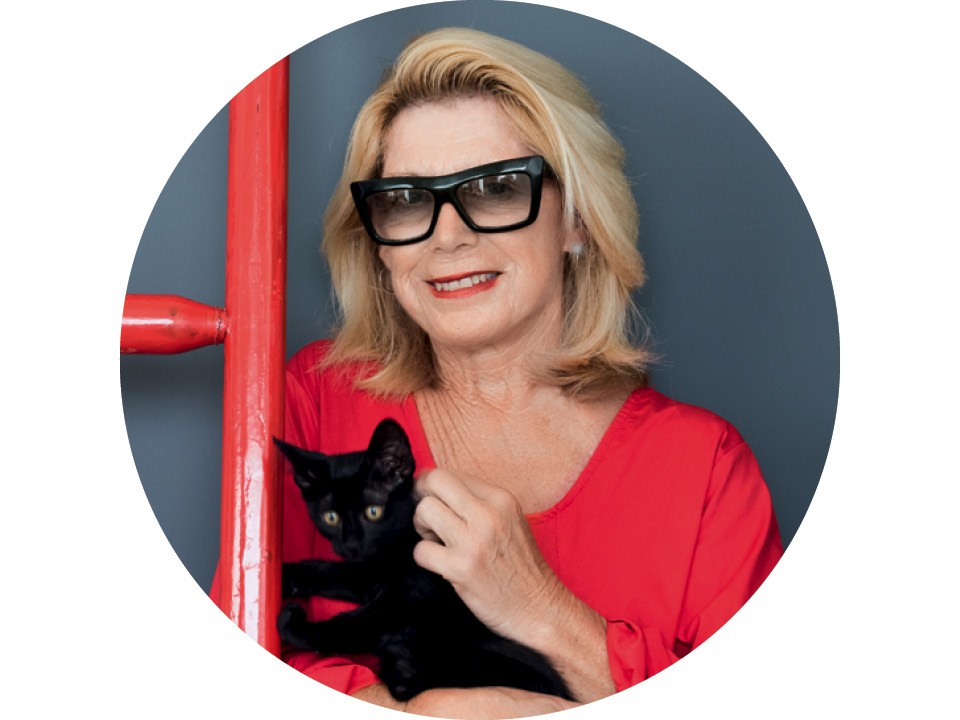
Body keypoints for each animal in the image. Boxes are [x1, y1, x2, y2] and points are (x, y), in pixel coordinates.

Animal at [274, 418, 574, 702]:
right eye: (330, 517)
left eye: (373, 511)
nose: (351, 544)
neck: (396, 547)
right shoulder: (371, 572)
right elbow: (329, 571)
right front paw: (285, 575)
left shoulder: (406, 603)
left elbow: (351, 625)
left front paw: (296, 625)